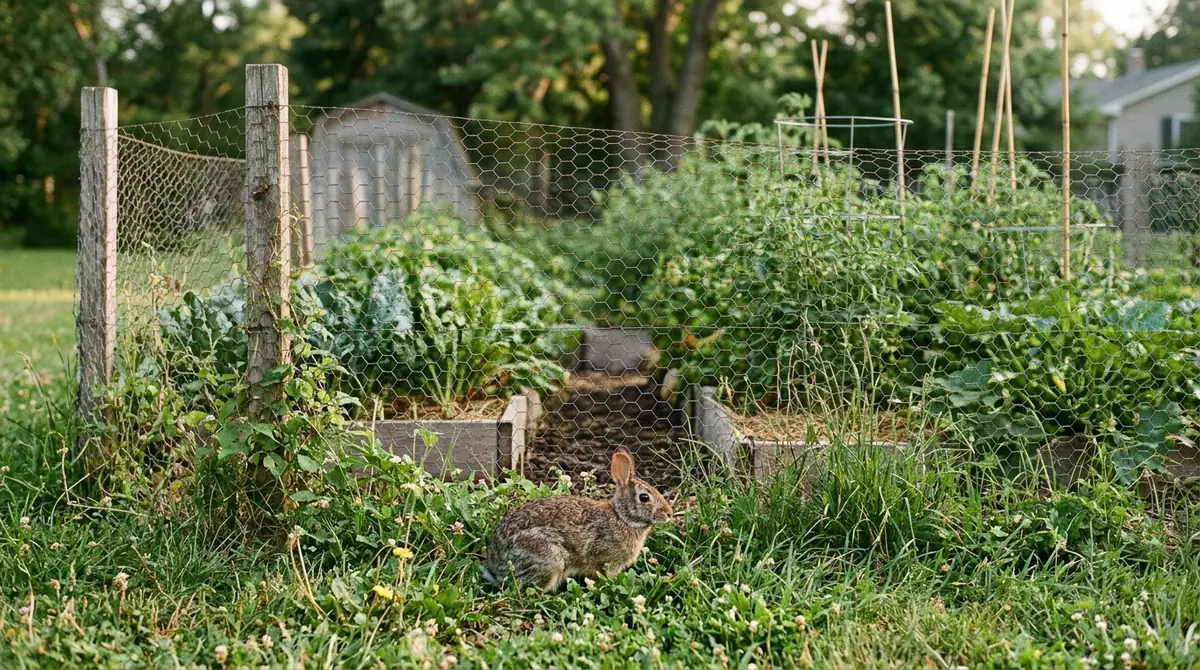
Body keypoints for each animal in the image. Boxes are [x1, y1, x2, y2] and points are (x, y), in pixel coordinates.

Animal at [482, 448, 674, 593]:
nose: (669, 513)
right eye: (644, 497)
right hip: (549, 559)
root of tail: (497, 568)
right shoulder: (604, 561)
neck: (622, 517)